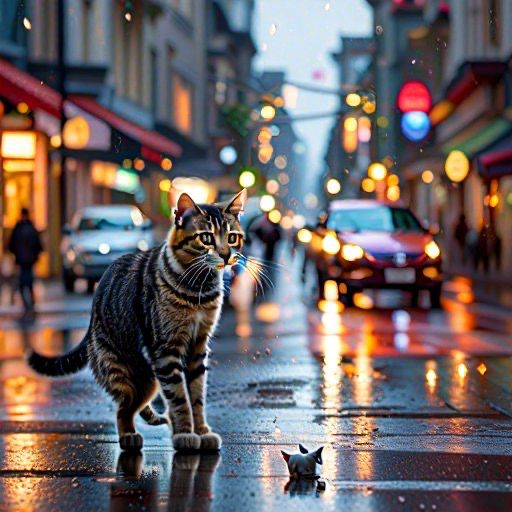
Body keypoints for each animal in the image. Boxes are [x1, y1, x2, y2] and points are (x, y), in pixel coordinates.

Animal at [27, 190, 247, 450]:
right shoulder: (166, 350)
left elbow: (196, 396)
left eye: (232, 238)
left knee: (133, 407)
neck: (199, 289)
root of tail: (92, 317)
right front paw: (186, 433)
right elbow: (179, 399)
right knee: (123, 408)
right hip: (128, 373)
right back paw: (129, 436)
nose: (226, 254)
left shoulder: (198, 347)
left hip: (147, 380)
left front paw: (201, 431)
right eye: (206, 238)